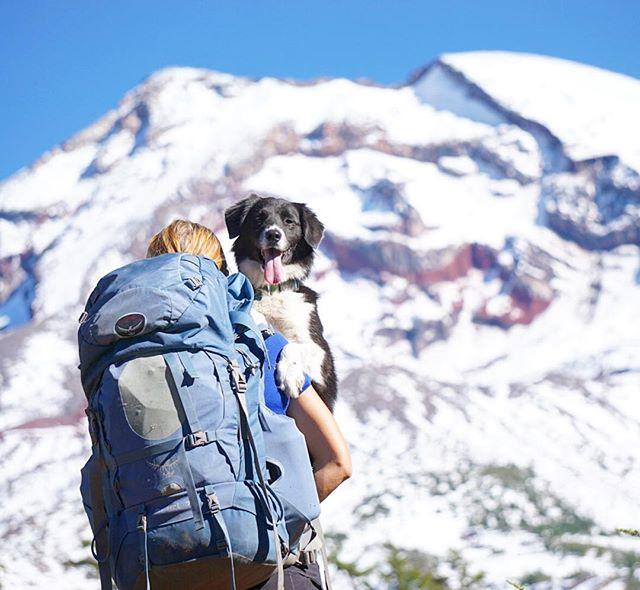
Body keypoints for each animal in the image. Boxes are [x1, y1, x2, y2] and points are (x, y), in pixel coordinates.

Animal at [225, 194, 338, 412]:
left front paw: (289, 375)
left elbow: (293, 345)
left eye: (289, 221)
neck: (271, 292)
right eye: (259, 218)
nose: (273, 235)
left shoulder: (322, 357)